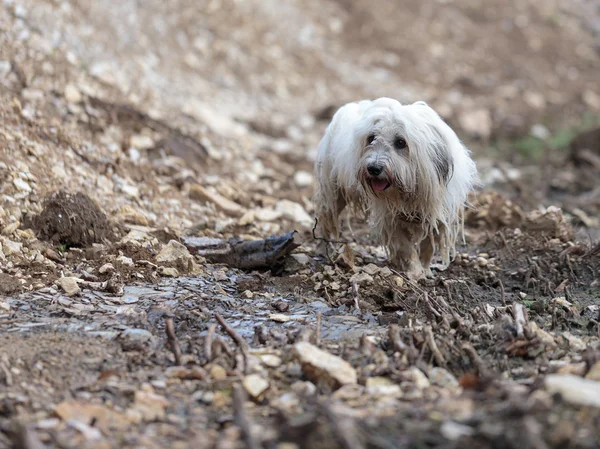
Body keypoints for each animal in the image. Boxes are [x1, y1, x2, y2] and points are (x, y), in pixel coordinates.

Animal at [314, 98, 478, 278]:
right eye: (371, 138)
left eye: (401, 142)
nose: (373, 168)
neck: (409, 191)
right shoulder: (390, 217)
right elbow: (405, 246)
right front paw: (415, 271)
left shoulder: (436, 215)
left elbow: (427, 246)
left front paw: (425, 268)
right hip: (332, 193)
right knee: (327, 220)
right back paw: (325, 248)